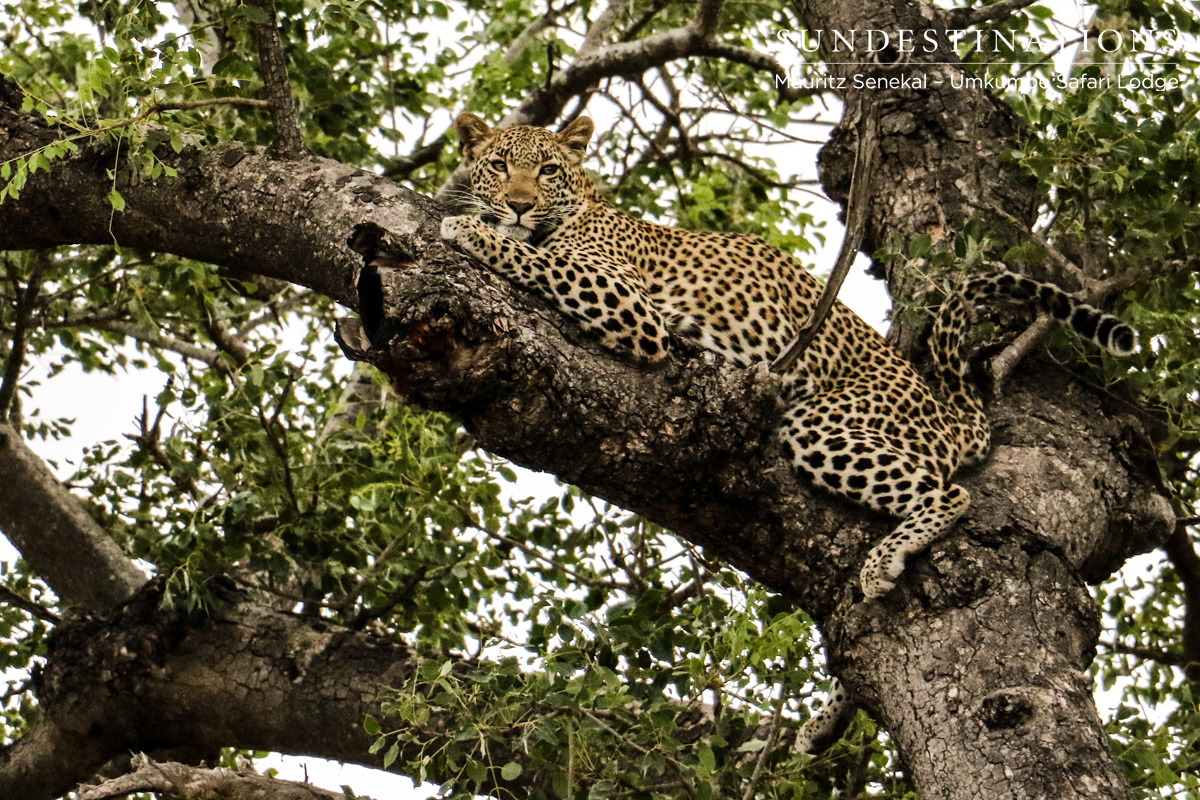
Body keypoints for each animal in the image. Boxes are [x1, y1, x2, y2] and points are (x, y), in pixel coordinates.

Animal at [439, 111, 1138, 752]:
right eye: (498, 166)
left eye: (547, 171)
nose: (518, 205)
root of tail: (945, 411)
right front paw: (479, 221)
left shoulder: (628, 305)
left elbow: (532, 258)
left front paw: (467, 228)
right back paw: (822, 723)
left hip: (823, 423)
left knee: (948, 492)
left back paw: (882, 563)